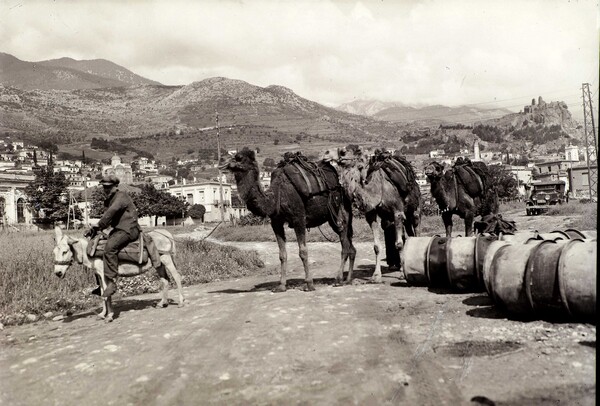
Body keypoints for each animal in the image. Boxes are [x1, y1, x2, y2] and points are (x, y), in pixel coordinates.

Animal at [52, 227, 184, 322]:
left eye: (65, 252)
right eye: (54, 252)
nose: (58, 273)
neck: (90, 252)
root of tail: (166, 233)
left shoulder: (104, 274)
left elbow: (107, 295)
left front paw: (109, 316)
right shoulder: (100, 275)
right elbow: (103, 294)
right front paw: (102, 314)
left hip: (166, 258)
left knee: (177, 277)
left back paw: (181, 302)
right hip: (159, 263)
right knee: (165, 280)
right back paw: (162, 303)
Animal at [219, 149, 356, 292]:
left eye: (239, 158)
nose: (221, 161)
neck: (276, 197)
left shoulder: (299, 219)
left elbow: (303, 251)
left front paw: (309, 284)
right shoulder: (276, 223)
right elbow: (282, 254)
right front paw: (281, 285)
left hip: (339, 210)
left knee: (345, 244)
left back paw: (338, 279)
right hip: (333, 217)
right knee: (350, 246)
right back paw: (348, 279)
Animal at [338, 147, 422, 284]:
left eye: (360, 167)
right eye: (341, 169)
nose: (343, 184)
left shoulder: (398, 212)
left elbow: (399, 244)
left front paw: (402, 274)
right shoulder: (371, 214)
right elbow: (376, 246)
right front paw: (376, 276)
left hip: (415, 209)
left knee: (416, 228)